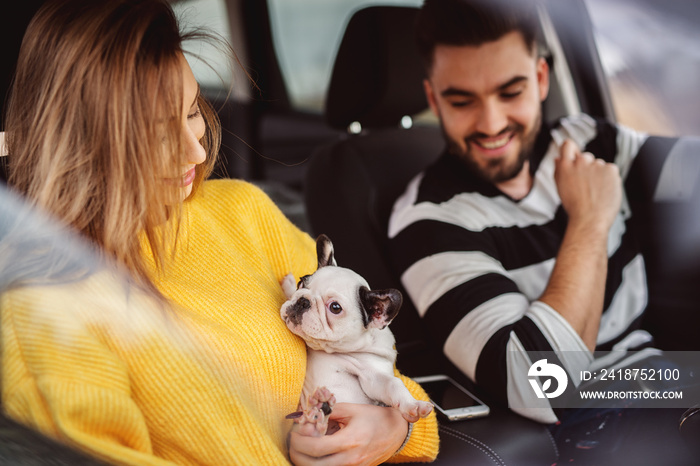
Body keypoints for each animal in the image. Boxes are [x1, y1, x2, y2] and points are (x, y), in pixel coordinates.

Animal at [280, 235, 432, 436]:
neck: (330, 350)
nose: (303, 301)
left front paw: (413, 405)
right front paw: (289, 286)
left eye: (335, 308)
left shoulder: (372, 376)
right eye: (302, 283)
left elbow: (393, 384)